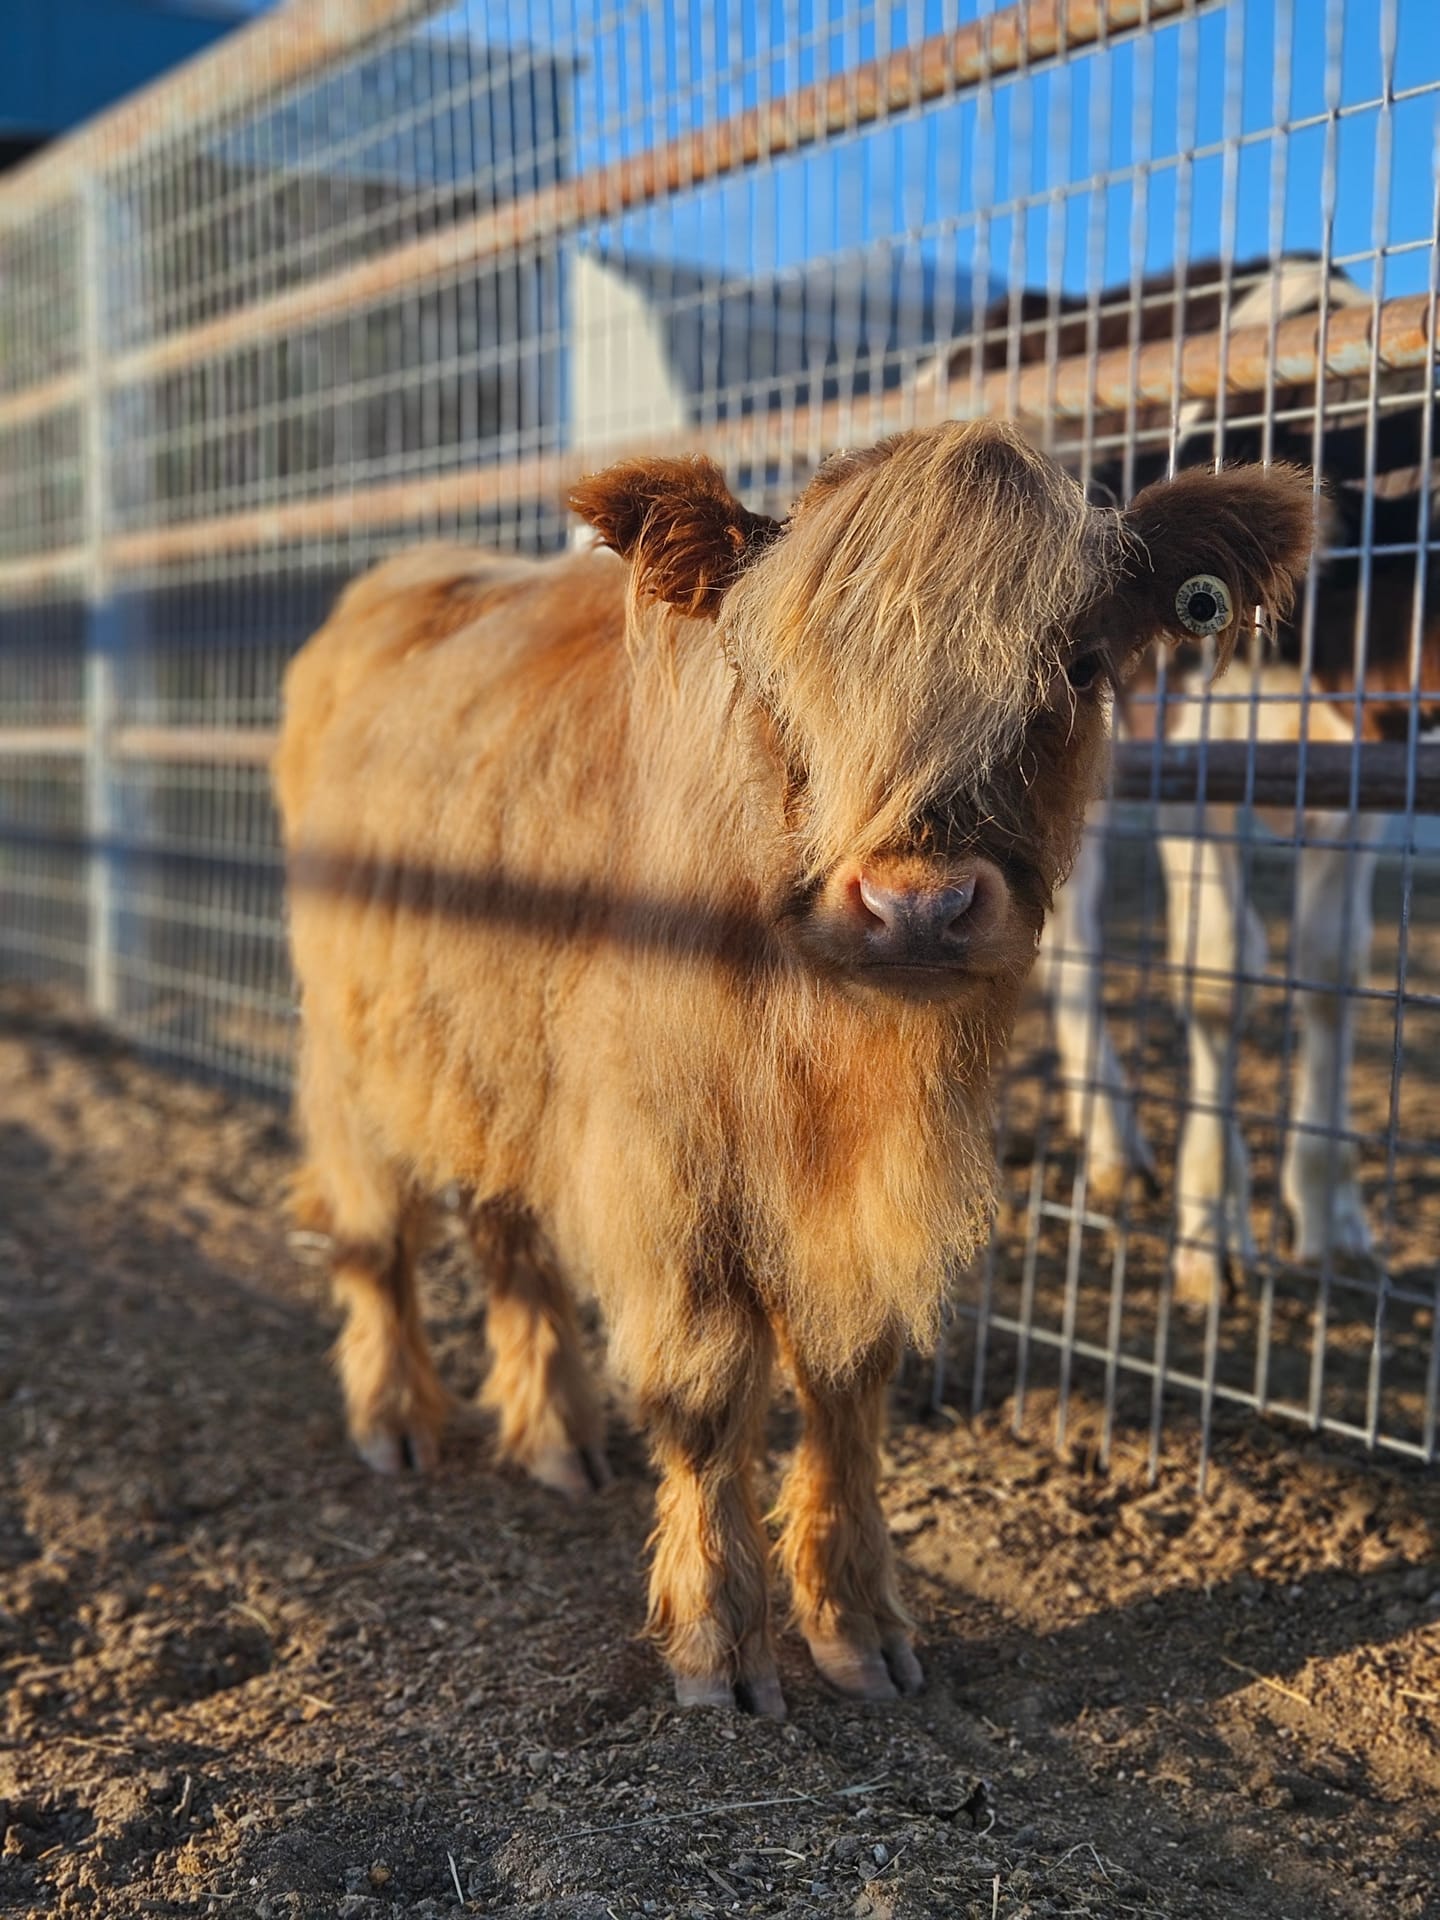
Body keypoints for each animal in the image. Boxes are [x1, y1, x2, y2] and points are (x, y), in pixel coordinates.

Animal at [274, 419, 1312, 1711]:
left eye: (1076, 665)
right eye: (774, 676)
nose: (919, 907)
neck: (831, 1044)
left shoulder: (855, 1193)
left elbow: (849, 1384)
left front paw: (854, 1622)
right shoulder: (666, 1167)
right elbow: (706, 1396)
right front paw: (718, 1642)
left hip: (500, 1056)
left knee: (507, 1233)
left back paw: (556, 1436)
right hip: (352, 1042)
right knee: (374, 1230)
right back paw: (395, 1416)